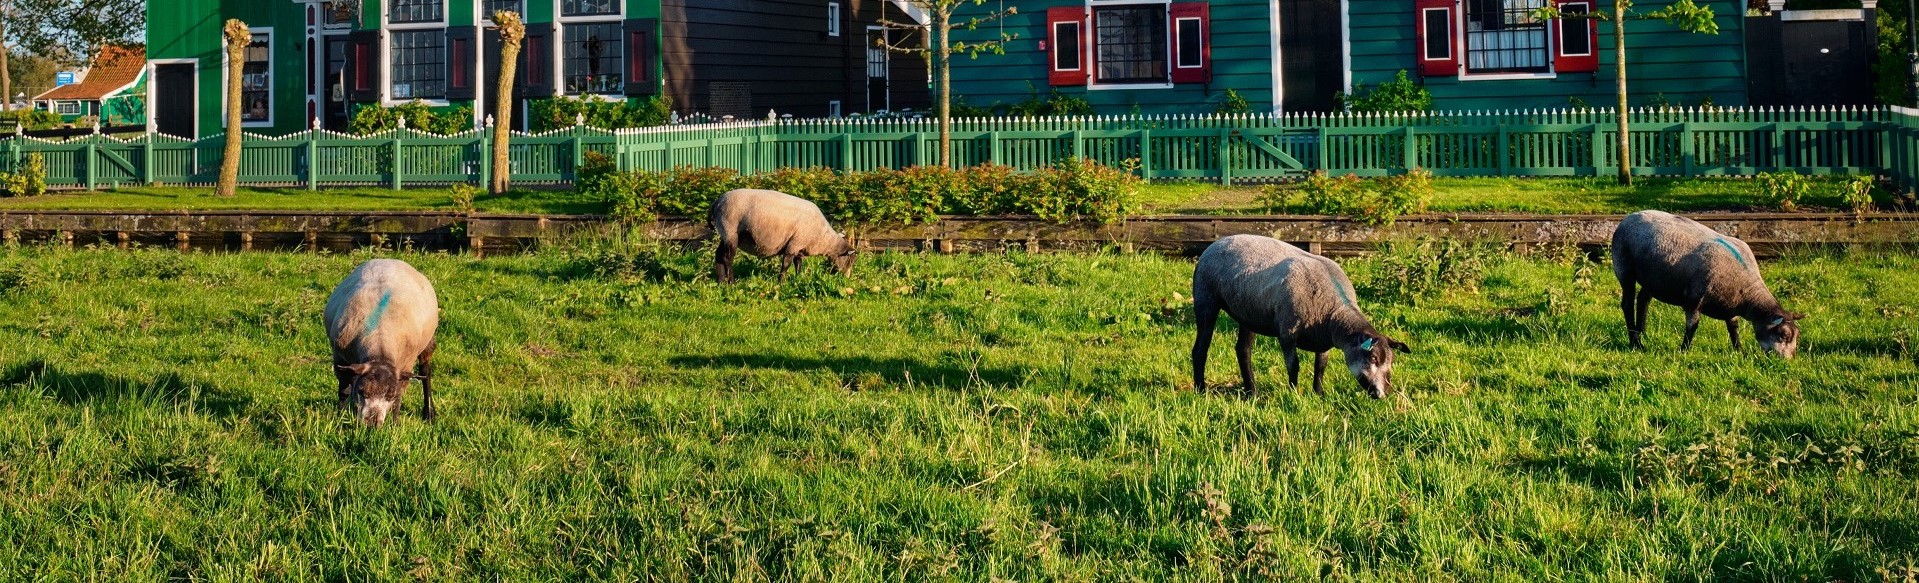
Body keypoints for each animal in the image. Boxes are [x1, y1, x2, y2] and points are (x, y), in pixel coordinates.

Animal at [324, 256, 439, 425]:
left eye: (389, 395)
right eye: (362, 391)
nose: (372, 423)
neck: (379, 339)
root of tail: (389, 259)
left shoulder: (405, 366)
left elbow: (399, 398)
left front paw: (395, 424)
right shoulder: (340, 359)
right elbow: (344, 391)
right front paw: (339, 420)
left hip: (427, 342)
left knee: (425, 371)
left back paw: (429, 413)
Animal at [706, 188, 855, 281]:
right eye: (850, 261)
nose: (846, 280)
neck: (823, 239)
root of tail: (717, 201)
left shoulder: (798, 247)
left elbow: (798, 265)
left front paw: (797, 280)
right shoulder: (793, 245)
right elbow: (786, 265)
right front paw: (780, 283)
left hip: (724, 233)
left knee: (718, 255)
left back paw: (720, 281)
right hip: (730, 231)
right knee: (727, 258)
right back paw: (731, 282)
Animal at [1182, 234, 1412, 398]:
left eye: (1391, 361)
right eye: (1373, 358)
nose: (1382, 394)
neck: (1333, 312)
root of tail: (1214, 244)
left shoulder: (1323, 341)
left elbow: (1320, 366)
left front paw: (1319, 393)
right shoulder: (1287, 333)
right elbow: (1294, 366)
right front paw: (1295, 394)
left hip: (1248, 314)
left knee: (1242, 350)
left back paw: (1252, 392)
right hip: (1206, 302)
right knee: (1200, 349)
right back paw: (1201, 390)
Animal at [1611, 208, 1803, 354]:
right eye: (1783, 335)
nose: (1787, 361)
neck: (1746, 292)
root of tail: (1629, 216)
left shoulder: (1730, 303)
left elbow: (1733, 327)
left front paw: (1739, 350)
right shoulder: (1693, 300)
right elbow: (1692, 327)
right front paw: (1684, 350)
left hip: (1654, 277)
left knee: (1643, 299)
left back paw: (1642, 333)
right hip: (1625, 269)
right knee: (1627, 304)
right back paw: (1636, 342)